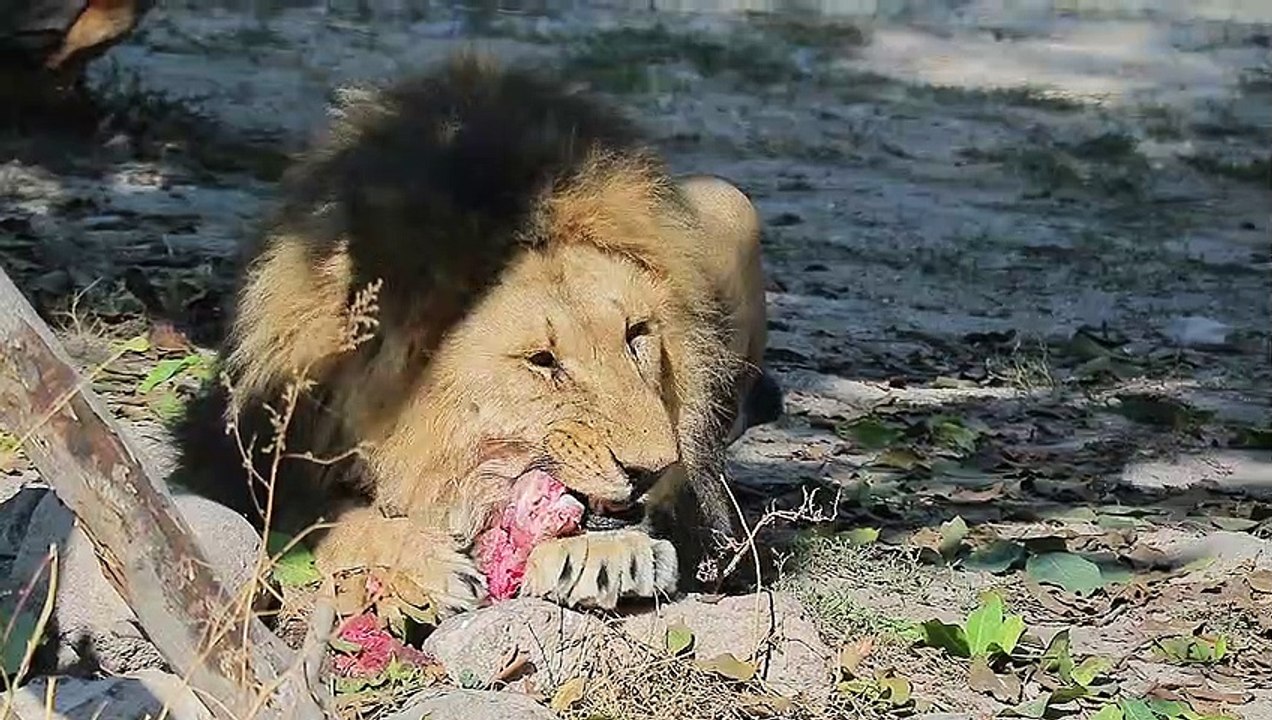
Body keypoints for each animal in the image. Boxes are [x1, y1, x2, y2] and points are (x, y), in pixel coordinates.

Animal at [172, 52, 782, 618]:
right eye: (541, 361)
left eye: (636, 333)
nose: (653, 470)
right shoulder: (234, 452)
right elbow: (320, 518)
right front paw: (415, 562)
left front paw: (606, 554)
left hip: (727, 197)